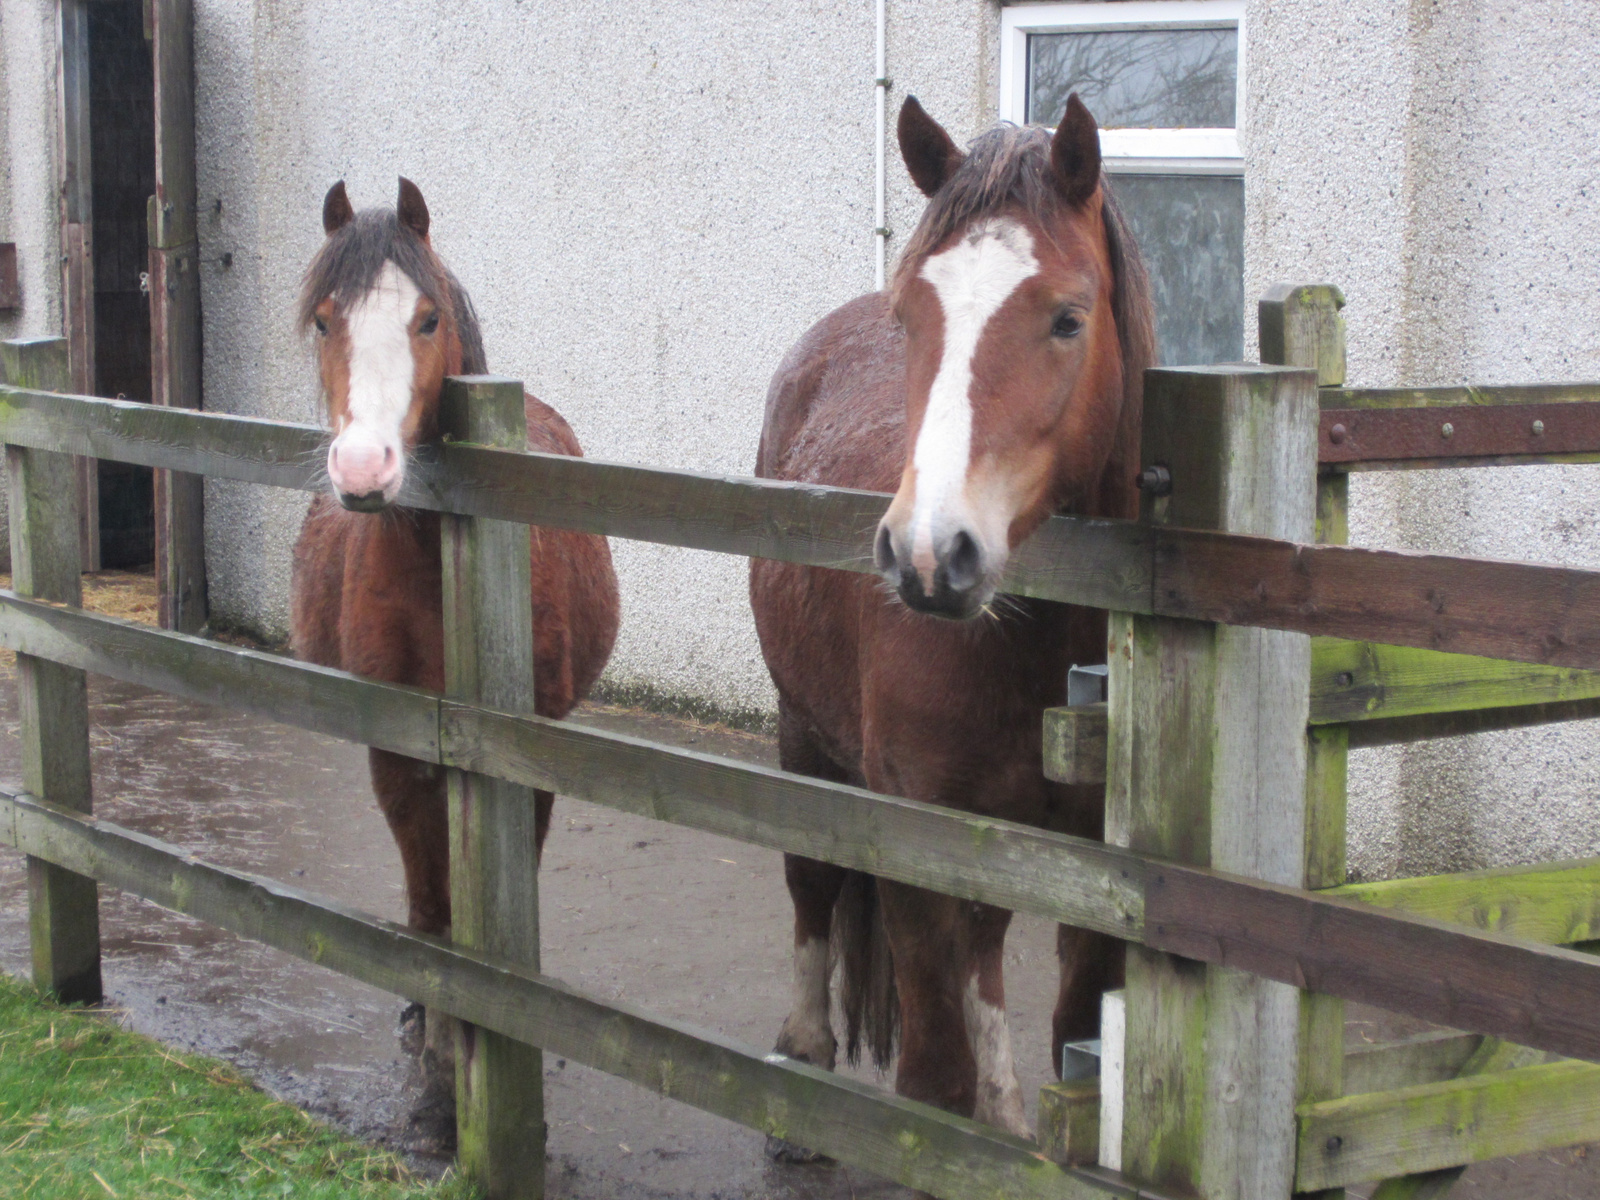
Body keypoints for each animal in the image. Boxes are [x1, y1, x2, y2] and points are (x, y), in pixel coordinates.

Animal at [288, 180, 617, 1126]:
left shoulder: (524, 756)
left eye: (427, 318)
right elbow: (432, 905)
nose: (363, 469)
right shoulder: (394, 749)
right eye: (325, 319)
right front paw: (438, 1072)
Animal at [748, 94, 1152, 1139]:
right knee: (811, 887)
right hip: (803, 732)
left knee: (986, 948)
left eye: (1067, 318)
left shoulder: (1100, 879)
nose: (932, 556)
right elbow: (932, 1080)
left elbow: (1071, 1043)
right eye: (910, 320)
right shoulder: (917, 836)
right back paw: (802, 1048)